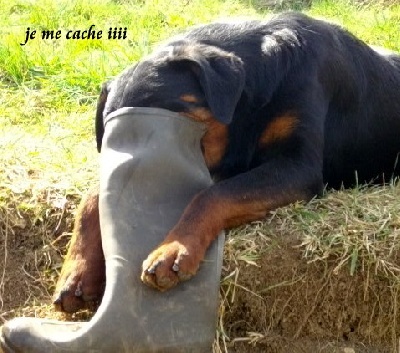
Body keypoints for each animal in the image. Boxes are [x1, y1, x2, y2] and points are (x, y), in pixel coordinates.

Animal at [53, 12, 400, 312]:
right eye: (114, 137)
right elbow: (92, 197)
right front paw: (76, 272)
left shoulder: (297, 166)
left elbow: (213, 195)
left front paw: (174, 249)